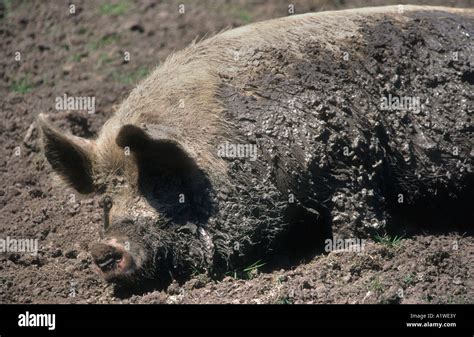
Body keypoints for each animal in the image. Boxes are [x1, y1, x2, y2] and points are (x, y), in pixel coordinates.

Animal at [38, 5, 474, 284]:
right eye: (107, 201)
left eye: (161, 180)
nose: (102, 248)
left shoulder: (349, 153)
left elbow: (358, 207)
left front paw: (343, 252)